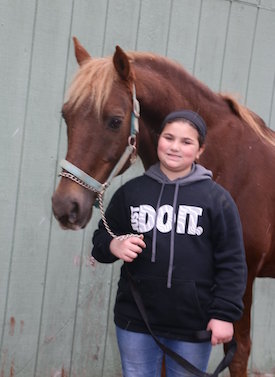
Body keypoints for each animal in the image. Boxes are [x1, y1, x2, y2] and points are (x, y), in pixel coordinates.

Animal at [51, 36, 275, 376]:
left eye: (115, 121)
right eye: (67, 115)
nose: (66, 207)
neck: (230, 160)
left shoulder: (242, 278)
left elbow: (238, 354)